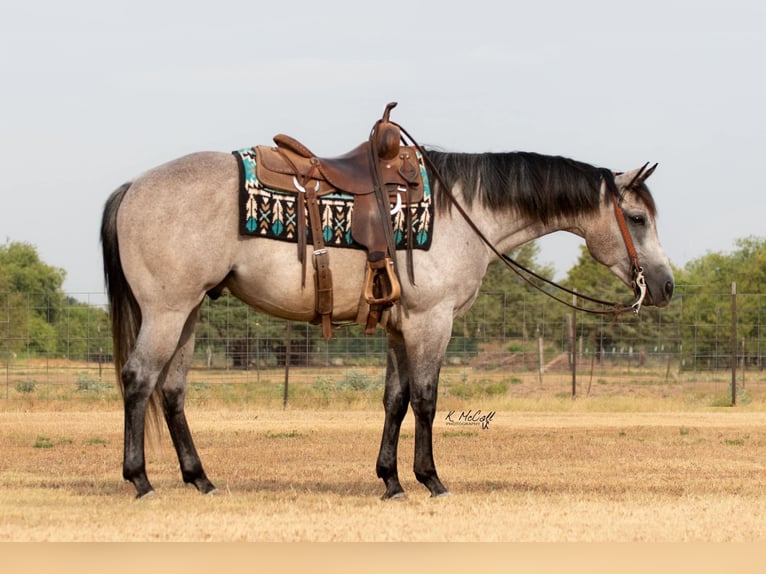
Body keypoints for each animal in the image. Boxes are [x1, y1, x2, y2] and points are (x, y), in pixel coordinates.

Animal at [99, 130, 676, 500]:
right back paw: (140, 480)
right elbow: (425, 399)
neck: (460, 212)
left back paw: (200, 479)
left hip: (189, 312)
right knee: (139, 379)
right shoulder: (431, 321)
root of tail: (133, 187)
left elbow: (394, 401)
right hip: (167, 311)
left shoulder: (401, 328)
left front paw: (391, 481)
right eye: (637, 218)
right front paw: (431, 480)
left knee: (171, 390)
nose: (666, 285)